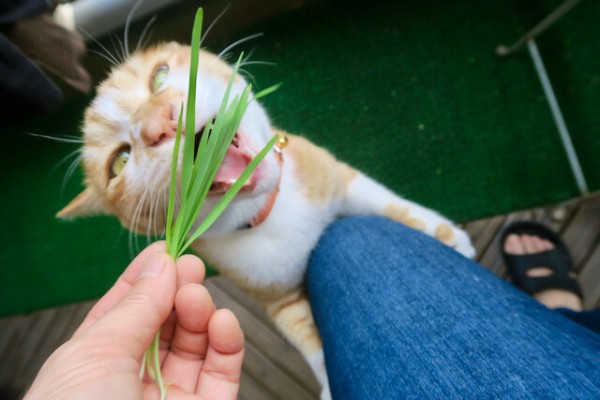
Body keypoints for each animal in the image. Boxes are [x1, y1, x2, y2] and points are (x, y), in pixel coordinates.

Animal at [58, 42, 476, 398]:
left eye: (158, 78)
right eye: (120, 162)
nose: (159, 123)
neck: (270, 210)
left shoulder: (336, 177)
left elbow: (387, 203)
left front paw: (445, 235)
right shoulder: (277, 297)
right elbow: (307, 340)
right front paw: (328, 379)